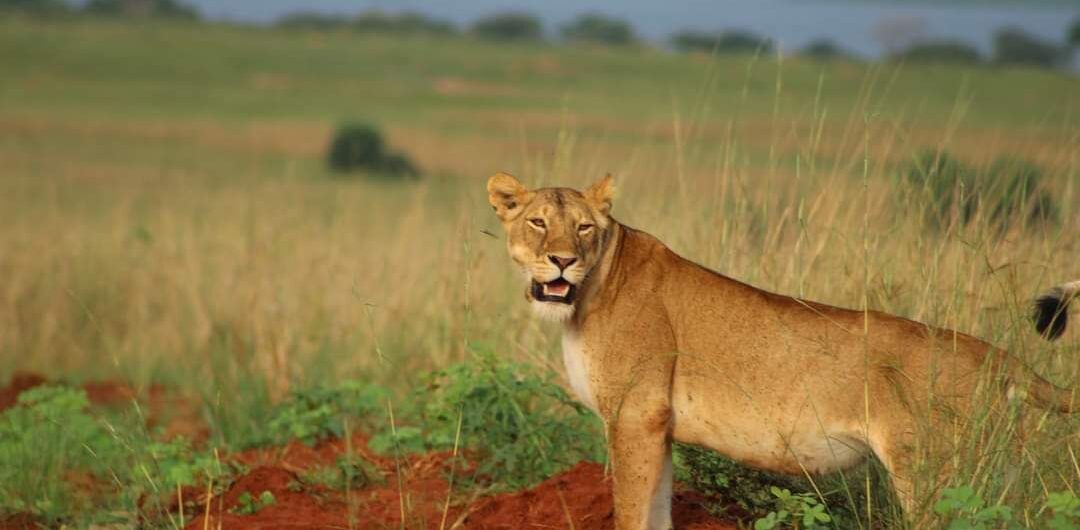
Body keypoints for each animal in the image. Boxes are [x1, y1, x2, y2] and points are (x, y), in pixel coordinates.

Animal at [486, 171, 1077, 530]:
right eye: (537, 222)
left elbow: (630, 512)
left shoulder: (635, 415)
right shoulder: (657, 427)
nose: (562, 261)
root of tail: (995, 355)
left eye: (584, 227)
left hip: (937, 474)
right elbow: (656, 510)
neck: (586, 297)